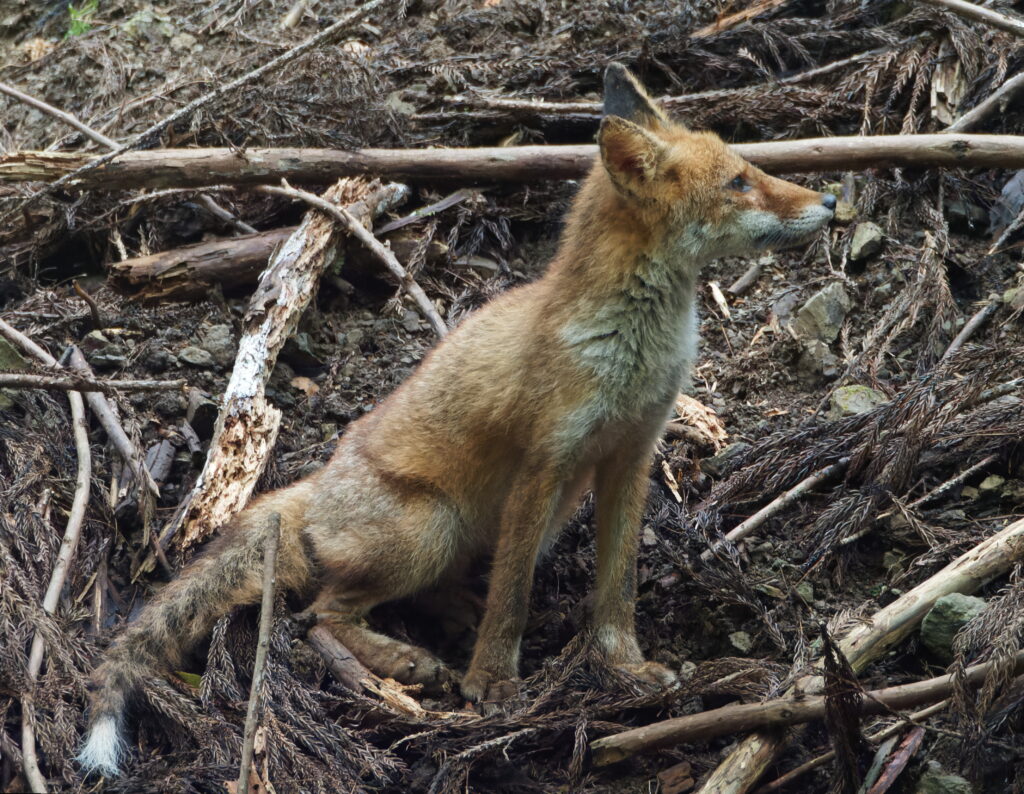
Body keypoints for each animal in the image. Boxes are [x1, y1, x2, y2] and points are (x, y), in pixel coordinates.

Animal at [77, 63, 831, 774]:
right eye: (738, 183)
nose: (828, 199)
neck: (631, 351)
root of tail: (312, 489)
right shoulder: (544, 464)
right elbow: (515, 599)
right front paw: (491, 683)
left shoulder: (629, 458)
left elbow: (615, 588)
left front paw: (623, 667)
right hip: (433, 526)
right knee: (319, 615)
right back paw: (404, 660)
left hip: (519, 519)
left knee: (408, 593)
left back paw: (447, 617)